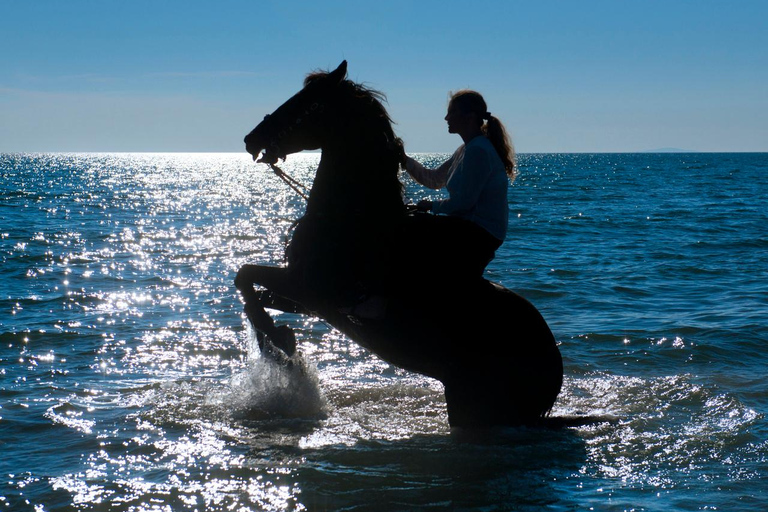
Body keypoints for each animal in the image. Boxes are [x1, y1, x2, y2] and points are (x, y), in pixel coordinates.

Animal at [235, 61, 563, 428]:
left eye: (308, 103)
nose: (251, 139)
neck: (351, 219)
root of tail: (554, 365)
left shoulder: (309, 288)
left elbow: (245, 277)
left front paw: (281, 344)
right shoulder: (308, 300)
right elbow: (250, 291)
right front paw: (280, 342)